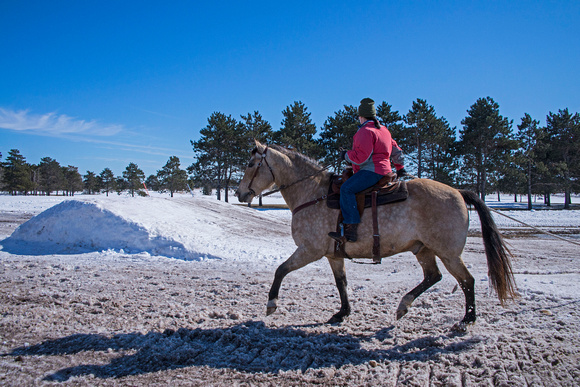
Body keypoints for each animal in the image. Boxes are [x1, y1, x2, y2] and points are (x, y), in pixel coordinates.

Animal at [236, 141, 516, 332]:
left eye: (250, 165)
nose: (239, 193)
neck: (314, 194)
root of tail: (458, 192)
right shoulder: (333, 254)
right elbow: (341, 283)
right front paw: (342, 313)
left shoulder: (309, 250)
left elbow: (281, 270)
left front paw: (271, 303)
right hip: (423, 249)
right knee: (433, 277)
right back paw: (404, 306)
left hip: (449, 253)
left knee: (467, 281)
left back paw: (466, 320)